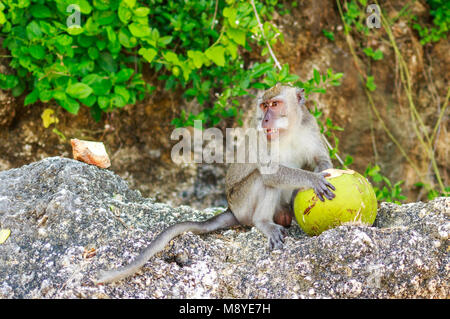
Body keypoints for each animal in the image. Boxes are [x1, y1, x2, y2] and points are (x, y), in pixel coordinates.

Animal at [95, 84, 334, 284]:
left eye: (275, 105)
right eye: (264, 106)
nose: (265, 120)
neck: (288, 130)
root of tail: (232, 210)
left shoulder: (310, 125)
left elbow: (321, 161)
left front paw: (318, 176)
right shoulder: (260, 137)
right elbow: (269, 173)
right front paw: (313, 179)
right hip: (242, 203)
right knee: (262, 179)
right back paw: (264, 222)